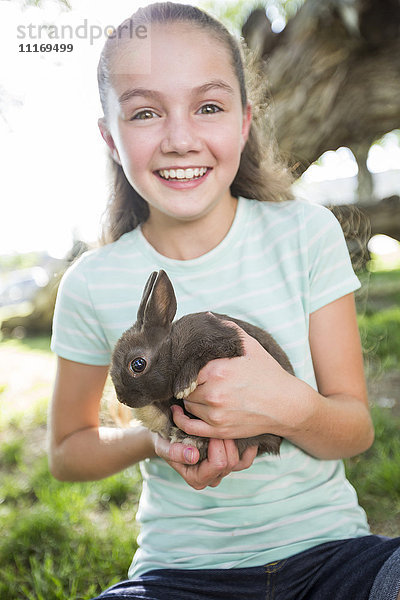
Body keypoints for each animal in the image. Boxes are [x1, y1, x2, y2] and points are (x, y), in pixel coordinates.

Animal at [109, 270, 294, 462]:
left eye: (138, 364)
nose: (122, 399)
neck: (173, 348)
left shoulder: (226, 342)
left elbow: (199, 355)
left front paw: (183, 386)